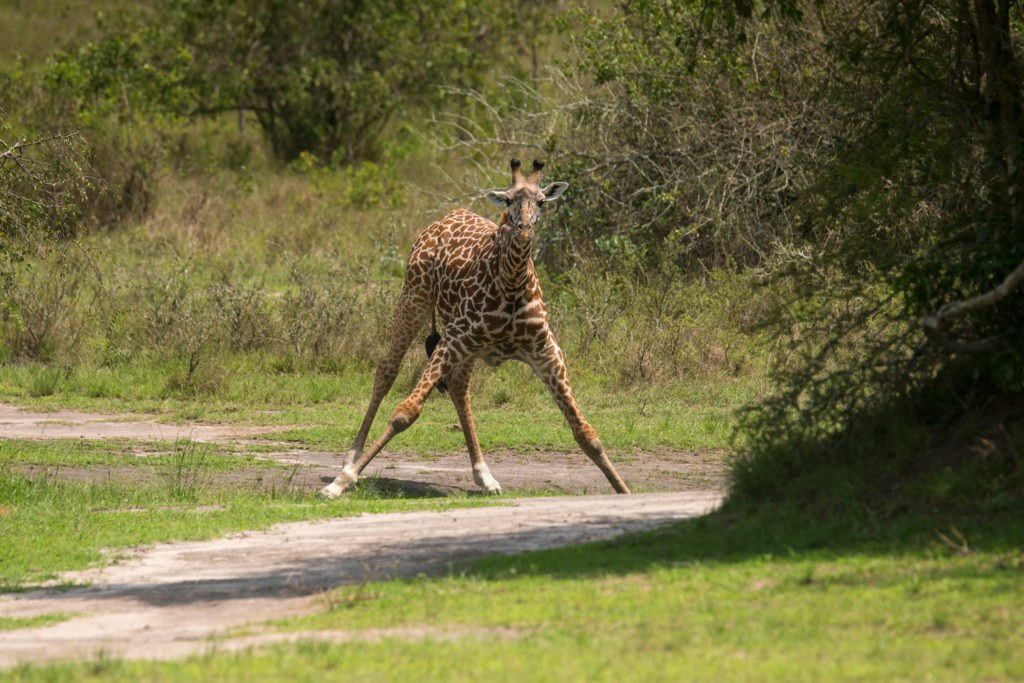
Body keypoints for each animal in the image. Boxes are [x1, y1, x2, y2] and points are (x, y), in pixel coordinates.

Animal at [319, 159, 630, 498]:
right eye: (508, 200)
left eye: (541, 202)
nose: (524, 228)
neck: (511, 284)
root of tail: (444, 218)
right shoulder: (453, 339)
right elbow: (405, 413)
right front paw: (341, 482)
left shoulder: (547, 353)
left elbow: (587, 434)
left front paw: (625, 491)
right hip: (415, 300)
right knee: (387, 370)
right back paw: (351, 457)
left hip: (467, 347)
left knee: (458, 387)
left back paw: (485, 476)